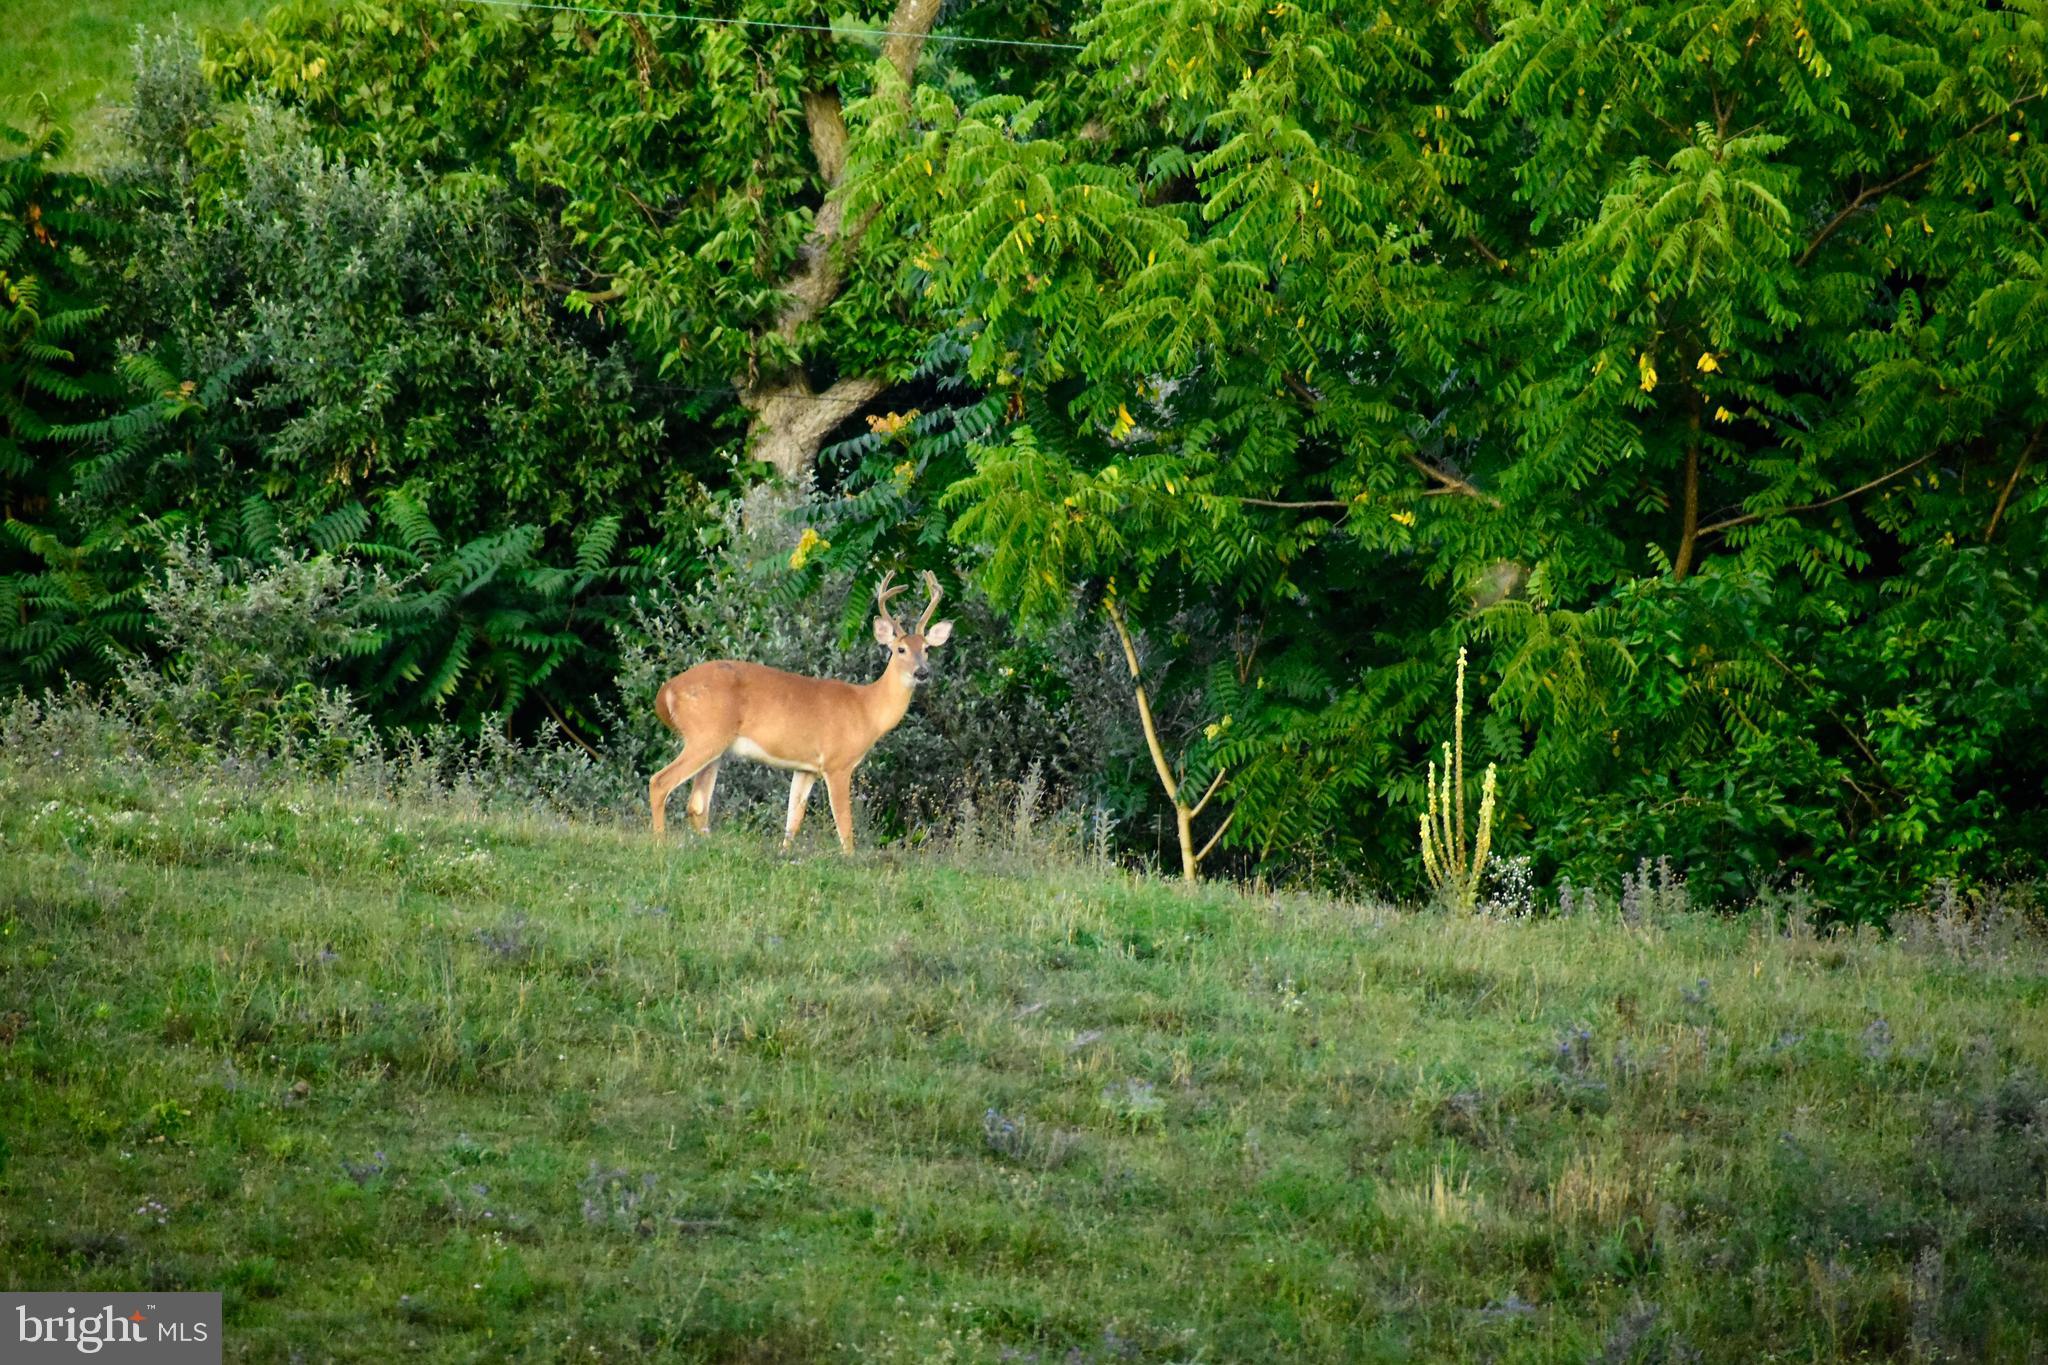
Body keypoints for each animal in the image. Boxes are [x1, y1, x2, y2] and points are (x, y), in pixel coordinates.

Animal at [648, 570, 953, 850]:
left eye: (927, 648)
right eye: (900, 649)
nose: (922, 672)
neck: (867, 708)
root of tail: (667, 691)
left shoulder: (806, 768)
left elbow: (793, 819)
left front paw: (784, 855)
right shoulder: (837, 762)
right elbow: (845, 826)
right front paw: (851, 860)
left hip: (716, 747)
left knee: (697, 804)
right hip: (705, 735)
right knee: (660, 781)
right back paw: (661, 843)